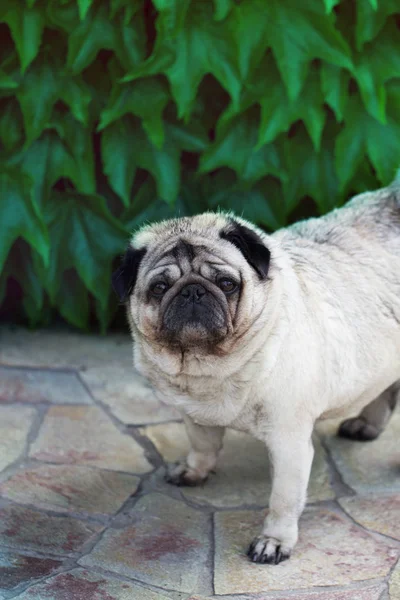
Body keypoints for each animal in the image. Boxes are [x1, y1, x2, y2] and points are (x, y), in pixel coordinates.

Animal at [112, 183, 400, 564]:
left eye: (226, 283)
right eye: (159, 288)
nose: (192, 291)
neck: (214, 365)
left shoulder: (289, 442)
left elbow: (283, 499)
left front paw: (274, 540)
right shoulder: (194, 414)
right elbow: (202, 445)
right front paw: (194, 471)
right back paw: (367, 424)